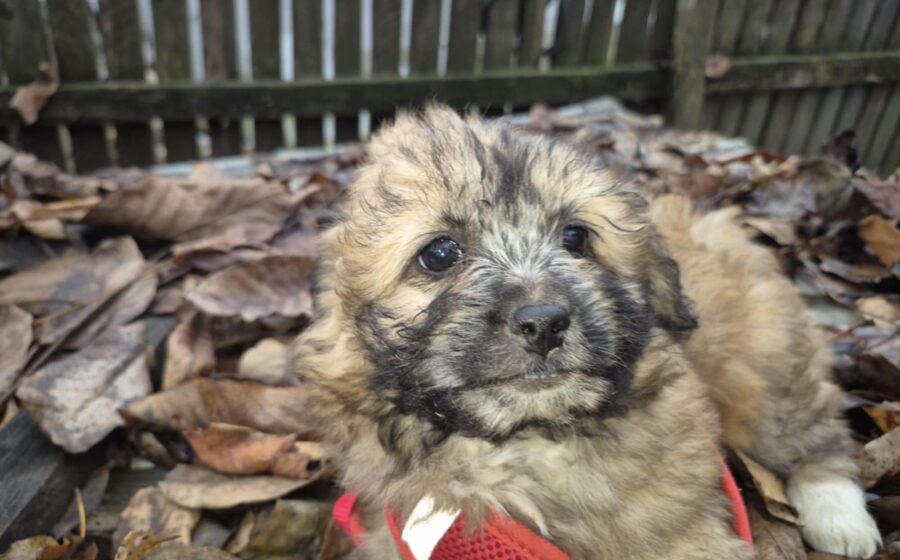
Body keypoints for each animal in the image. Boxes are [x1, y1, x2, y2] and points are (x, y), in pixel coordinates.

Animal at [293, 105, 881, 559]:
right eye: (439, 253)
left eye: (576, 237)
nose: (543, 322)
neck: (528, 443)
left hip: (763, 369)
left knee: (812, 434)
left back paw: (841, 519)